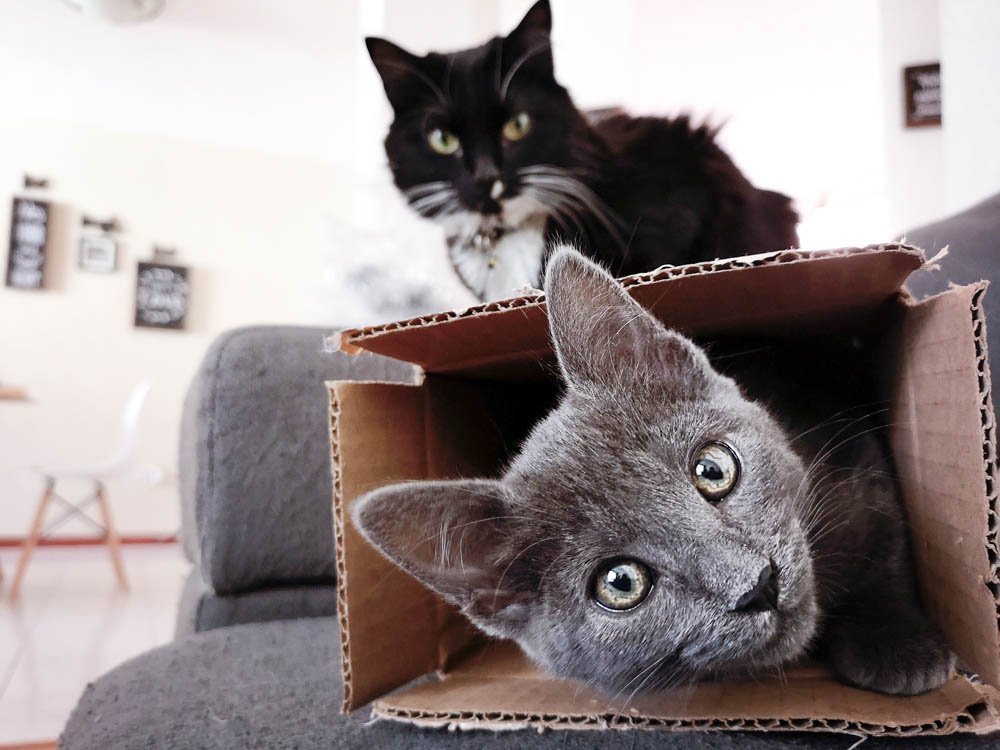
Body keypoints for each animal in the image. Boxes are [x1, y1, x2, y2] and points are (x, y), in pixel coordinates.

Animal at [352, 247, 952, 700]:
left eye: (713, 469)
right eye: (621, 583)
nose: (758, 585)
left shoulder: (855, 461)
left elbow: (887, 547)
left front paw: (898, 645)